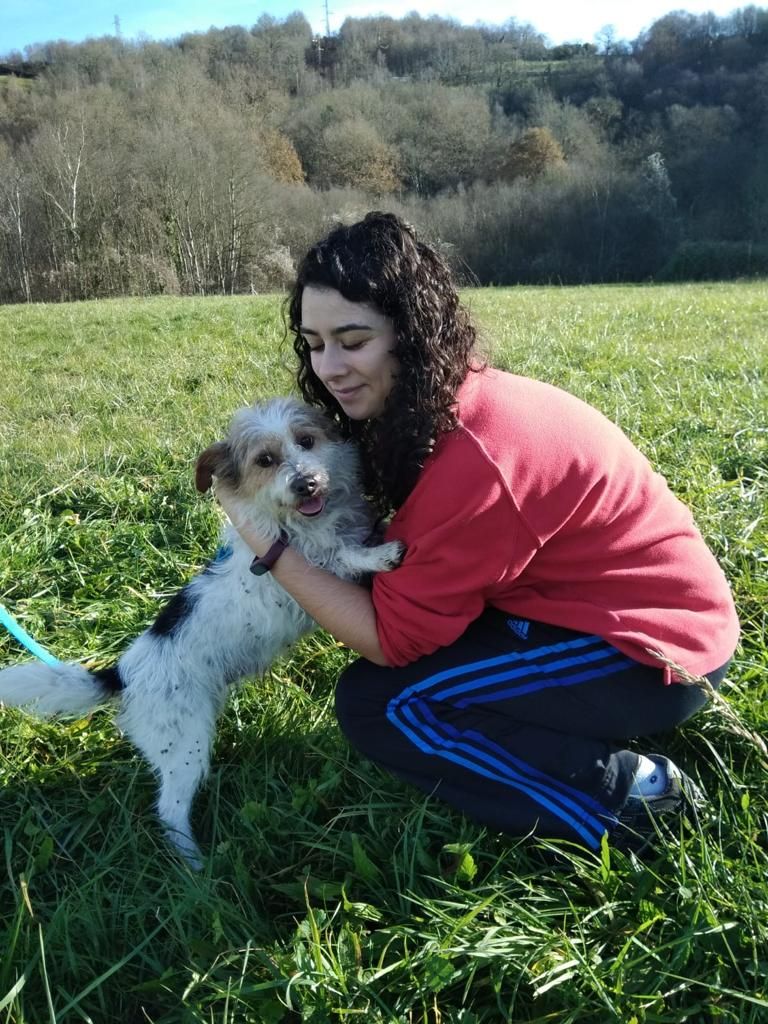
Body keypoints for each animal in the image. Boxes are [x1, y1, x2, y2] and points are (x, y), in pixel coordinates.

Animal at [0, 395, 403, 868]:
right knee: (169, 810)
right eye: (265, 460)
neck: (295, 522)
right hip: (184, 745)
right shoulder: (304, 564)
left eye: (307, 441)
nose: (305, 483)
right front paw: (379, 555)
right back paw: (195, 867)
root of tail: (122, 674)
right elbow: (341, 554)